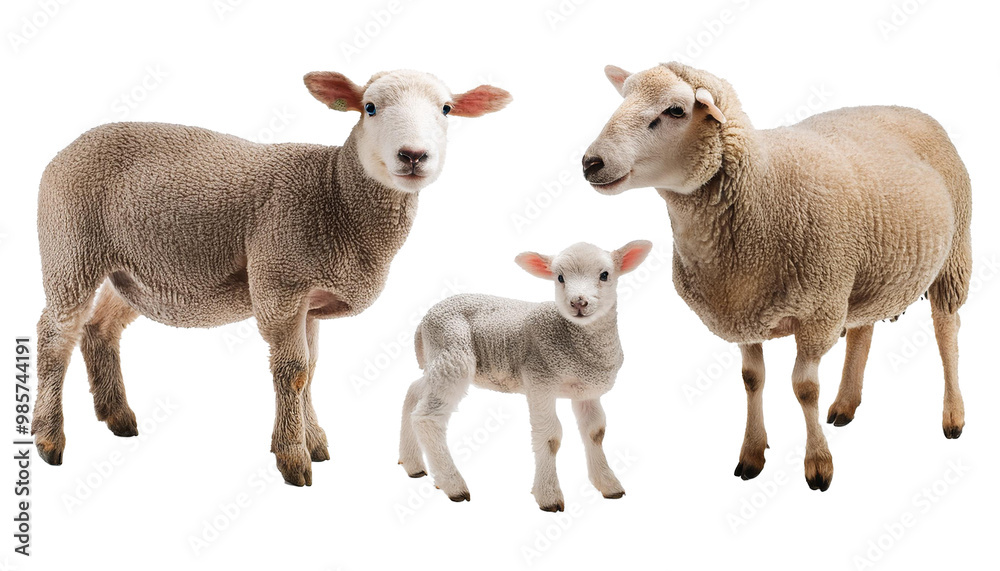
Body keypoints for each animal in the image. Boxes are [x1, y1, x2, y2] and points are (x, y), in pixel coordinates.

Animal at [32, 69, 512, 486]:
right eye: (369, 107)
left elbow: (311, 370)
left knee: (99, 328)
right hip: (69, 244)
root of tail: (67, 149)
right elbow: (293, 371)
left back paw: (117, 416)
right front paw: (293, 457)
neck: (334, 194)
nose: (412, 156)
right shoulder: (280, 281)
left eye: (446, 109)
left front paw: (314, 441)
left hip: (130, 271)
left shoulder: (311, 300)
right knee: (55, 336)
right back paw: (49, 437)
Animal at [398, 240, 652, 511]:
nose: (578, 303)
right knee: (427, 417)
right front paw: (549, 495)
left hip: (437, 359)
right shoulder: (539, 380)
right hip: (452, 353)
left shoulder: (586, 391)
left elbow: (595, 432)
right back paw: (453, 485)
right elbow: (550, 436)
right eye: (559, 277)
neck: (571, 336)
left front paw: (608, 484)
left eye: (605, 275)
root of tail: (424, 321)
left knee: (414, 393)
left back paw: (413, 465)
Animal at [583, 62, 972, 491]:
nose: (591, 163)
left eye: (675, 110)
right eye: (623, 99)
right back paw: (845, 404)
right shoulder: (744, 314)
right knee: (862, 331)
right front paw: (752, 453)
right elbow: (752, 379)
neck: (762, 191)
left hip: (952, 254)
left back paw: (953, 416)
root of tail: (912, 109)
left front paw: (818, 463)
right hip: (864, 273)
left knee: (946, 330)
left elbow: (804, 388)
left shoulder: (818, 311)